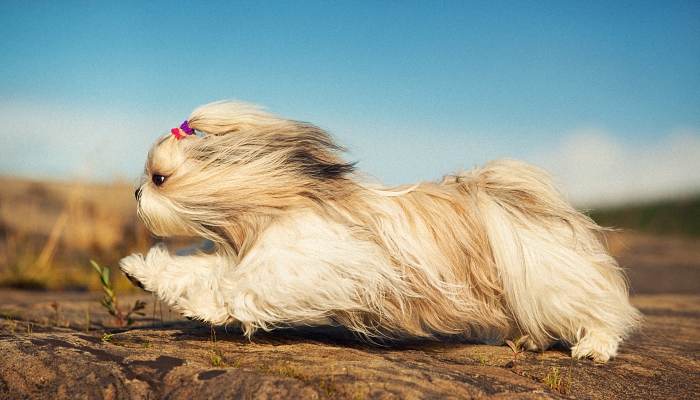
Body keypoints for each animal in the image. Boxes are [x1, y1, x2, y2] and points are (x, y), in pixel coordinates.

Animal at [119, 101, 640, 362]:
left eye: (159, 177)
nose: (137, 193)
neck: (270, 208)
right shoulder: (248, 253)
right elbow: (198, 269)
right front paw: (140, 271)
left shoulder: (303, 266)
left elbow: (239, 291)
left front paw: (203, 308)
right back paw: (532, 340)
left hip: (549, 277)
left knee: (601, 312)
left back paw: (593, 348)